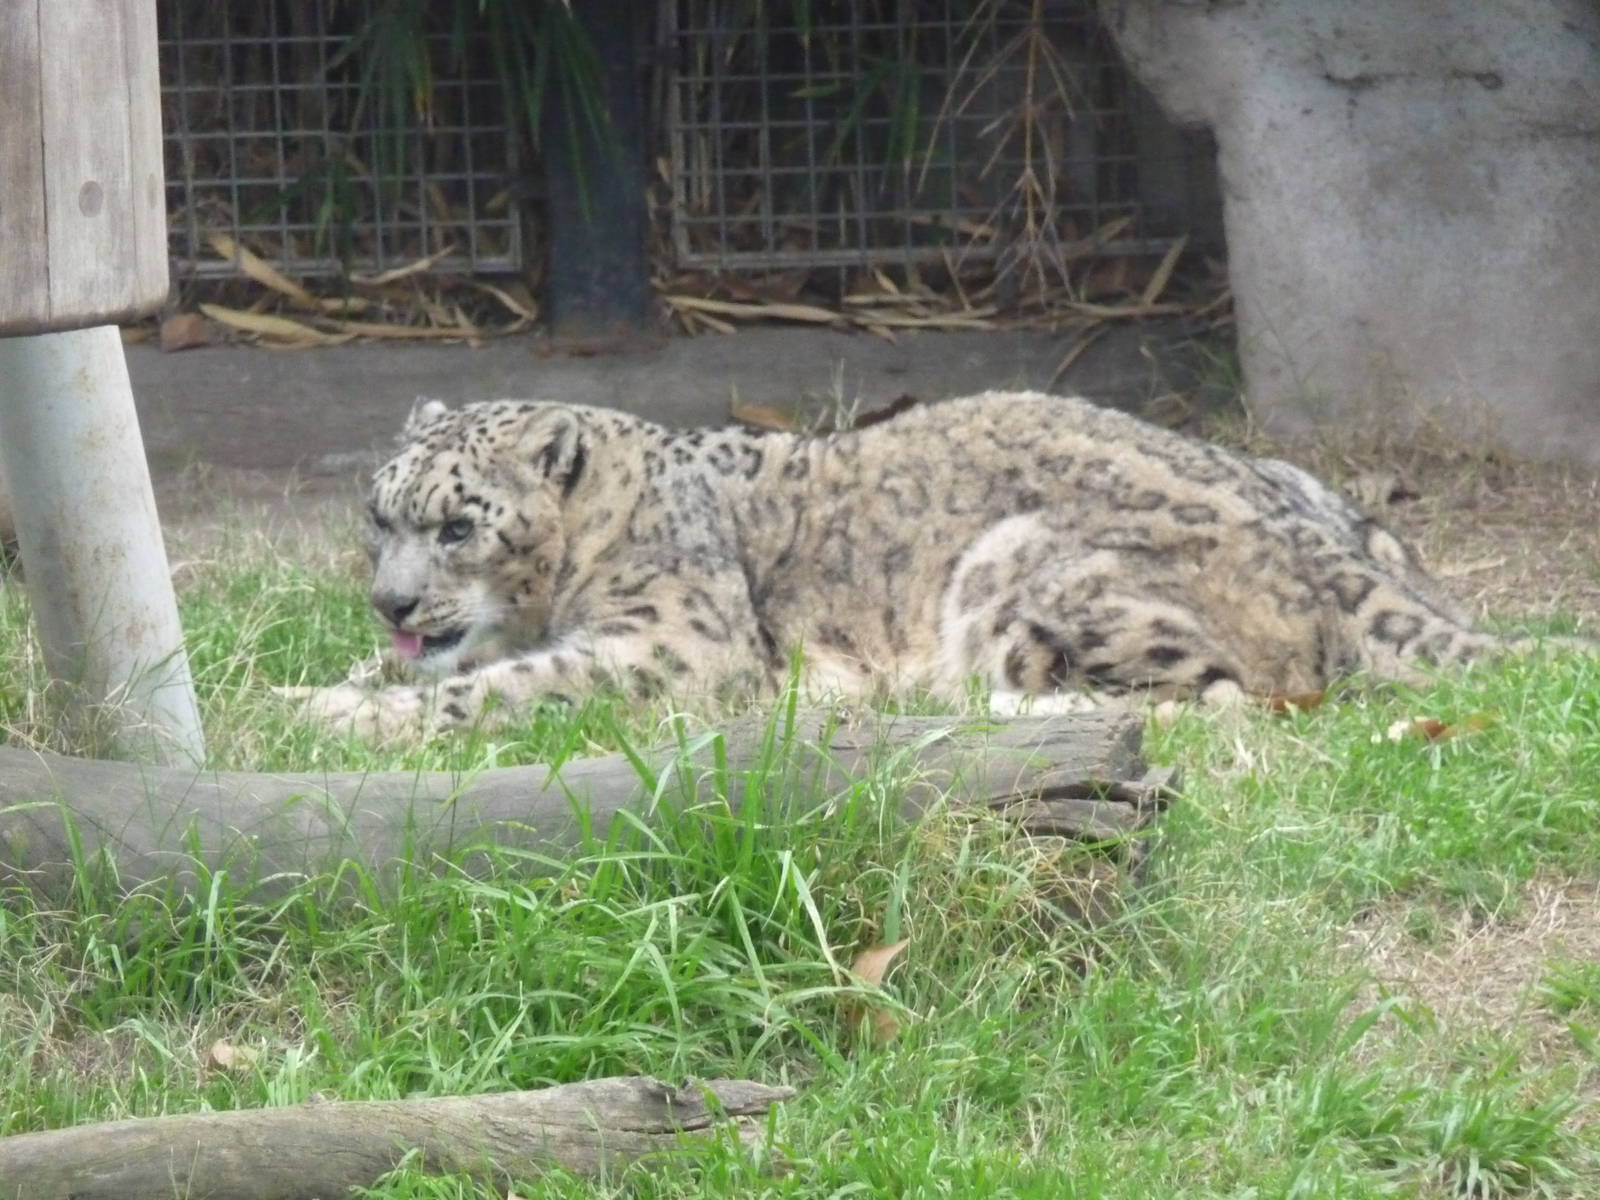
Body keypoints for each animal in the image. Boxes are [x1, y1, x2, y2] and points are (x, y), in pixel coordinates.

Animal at [293, 390, 1569, 740]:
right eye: (377, 516)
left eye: (458, 528)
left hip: (1023, 568)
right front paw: (318, 688)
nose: (390, 599)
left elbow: (510, 684)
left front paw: (347, 719)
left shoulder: (672, 646)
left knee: (1217, 700)